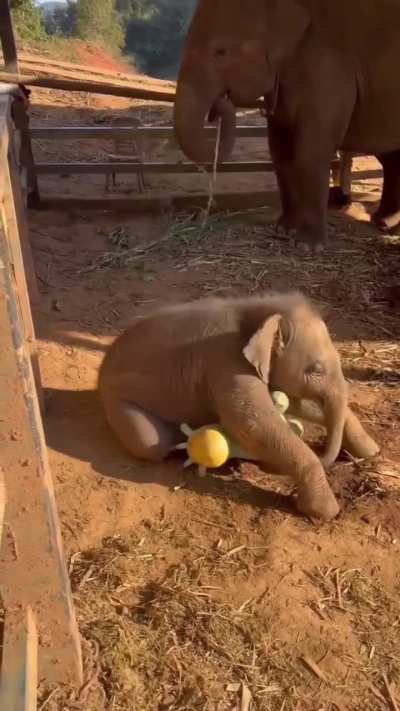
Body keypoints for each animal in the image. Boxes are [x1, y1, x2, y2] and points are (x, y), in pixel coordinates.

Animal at [98, 292, 379, 521]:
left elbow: (290, 404)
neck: (259, 309)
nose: (329, 454)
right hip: (115, 400)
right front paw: (325, 513)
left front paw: (371, 451)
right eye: (316, 370)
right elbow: (253, 421)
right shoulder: (226, 362)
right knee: (151, 443)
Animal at [173, 0, 400, 246]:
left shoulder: (329, 69)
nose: (217, 107)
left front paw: (307, 244)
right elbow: (280, 153)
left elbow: (310, 152)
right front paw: (283, 230)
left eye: (220, 52)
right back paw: (384, 223)